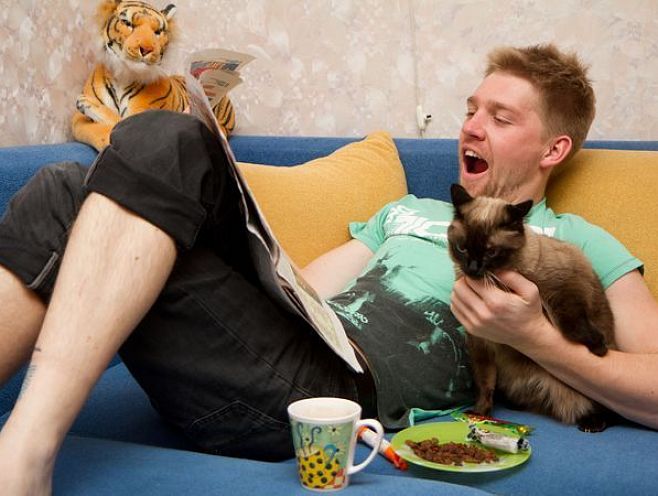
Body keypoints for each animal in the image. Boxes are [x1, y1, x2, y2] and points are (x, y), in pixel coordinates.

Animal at [446, 183, 616, 432]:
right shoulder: (481, 345)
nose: (473, 269)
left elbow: (571, 323)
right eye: (462, 248)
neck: (499, 280)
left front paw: (598, 348)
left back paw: (592, 422)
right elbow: (485, 385)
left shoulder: (564, 289)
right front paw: (479, 414)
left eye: (491, 252)